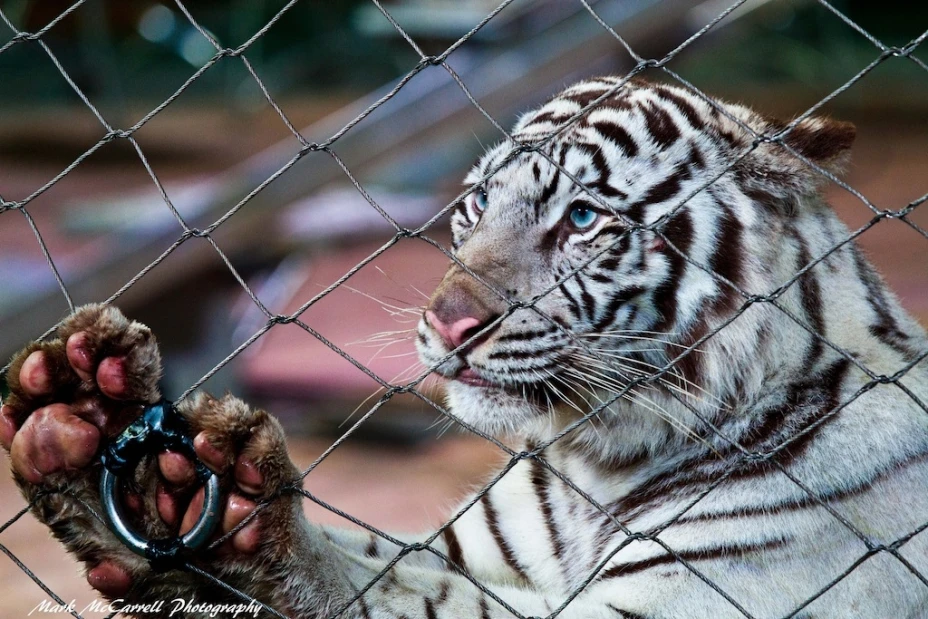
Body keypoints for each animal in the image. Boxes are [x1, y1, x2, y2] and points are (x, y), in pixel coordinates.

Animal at [2, 76, 928, 619]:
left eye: (583, 218)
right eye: (479, 202)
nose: (448, 323)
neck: (597, 463)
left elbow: (417, 595)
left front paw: (231, 510)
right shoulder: (457, 543)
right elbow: (399, 562)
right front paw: (85, 420)